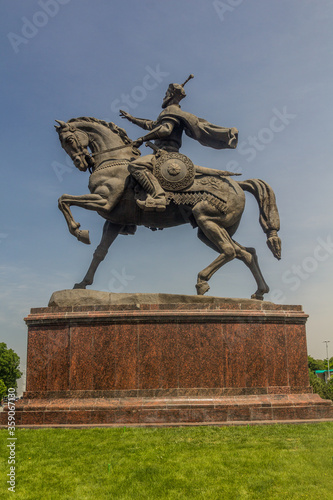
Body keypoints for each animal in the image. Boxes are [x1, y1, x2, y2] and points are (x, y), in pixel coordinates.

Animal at [55, 116, 278, 300]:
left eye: (68, 140)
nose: (80, 163)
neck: (113, 161)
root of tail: (238, 185)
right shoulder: (114, 221)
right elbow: (100, 252)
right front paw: (82, 284)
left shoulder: (103, 200)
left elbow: (63, 199)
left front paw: (79, 232)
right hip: (210, 230)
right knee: (246, 253)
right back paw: (259, 292)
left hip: (206, 218)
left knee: (230, 251)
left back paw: (202, 281)